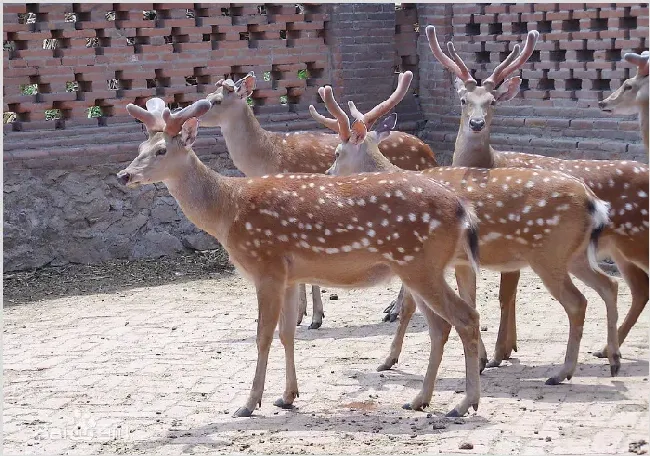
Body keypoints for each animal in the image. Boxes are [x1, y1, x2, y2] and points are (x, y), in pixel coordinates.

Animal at [116, 98, 480, 418]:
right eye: (140, 148)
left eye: (161, 150)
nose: (124, 175)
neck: (228, 212)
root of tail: (462, 209)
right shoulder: (289, 276)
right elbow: (287, 333)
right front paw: (288, 396)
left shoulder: (266, 266)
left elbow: (263, 336)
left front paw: (249, 404)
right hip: (417, 268)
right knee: (440, 326)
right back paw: (419, 399)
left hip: (419, 264)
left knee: (465, 317)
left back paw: (464, 403)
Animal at [197, 71, 438, 330]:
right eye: (210, 95)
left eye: (216, 101)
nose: (196, 112)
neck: (267, 157)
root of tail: (430, 153)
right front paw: (303, 313)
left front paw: (311, 316)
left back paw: (394, 310)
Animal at [308, 82, 616, 384]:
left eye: (337, 153)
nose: (328, 173)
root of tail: (593, 201)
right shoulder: (453, 261)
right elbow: (468, 301)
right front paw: (480, 360)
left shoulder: (416, 253)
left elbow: (410, 307)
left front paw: (388, 359)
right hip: (574, 254)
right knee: (608, 286)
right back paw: (611, 358)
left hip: (549, 253)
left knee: (578, 302)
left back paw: (563, 372)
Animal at [426, 25, 648, 366]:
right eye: (464, 100)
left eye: (492, 101)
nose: (476, 124)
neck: (491, 162)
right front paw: (506, 348)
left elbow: (505, 295)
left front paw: (499, 353)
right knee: (635, 289)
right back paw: (607, 350)